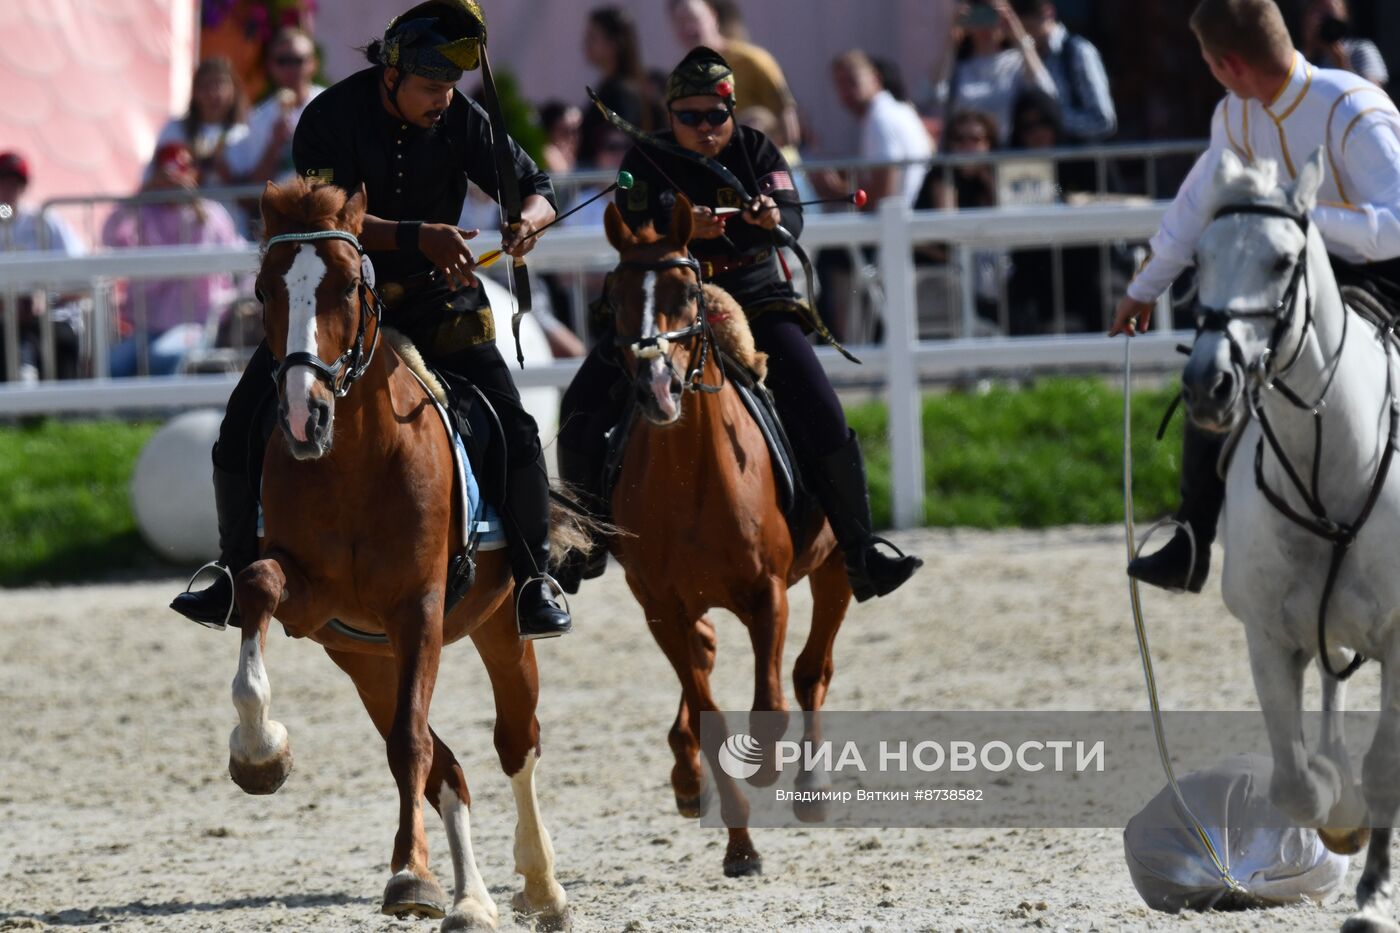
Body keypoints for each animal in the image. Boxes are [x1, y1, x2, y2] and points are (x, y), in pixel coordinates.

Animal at [226, 177, 576, 924]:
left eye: (348, 287)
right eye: (265, 291)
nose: (302, 416)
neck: (355, 459)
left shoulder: (419, 607)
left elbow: (411, 742)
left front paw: (410, 873)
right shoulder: (312, 603)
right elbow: (262, 588)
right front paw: (260, 754)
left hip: (499, 627)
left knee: (513, 744)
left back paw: (540, 886)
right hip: (365, 658)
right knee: (448, 767)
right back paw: (470, 899)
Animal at [599, 194, 845, 874]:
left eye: (687, 293)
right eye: (614, 298)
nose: (656, 386)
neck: (692, 480)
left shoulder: (768, 594)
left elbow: (770, 707)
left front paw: (763, 771)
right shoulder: (662, 607)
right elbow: (708, 707)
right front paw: (738, 842)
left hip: (836, 569)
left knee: (811, 673)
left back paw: (812, 790)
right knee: (705, 660)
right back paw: (689, 781)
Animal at [1181, 145, 1400, 930]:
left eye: (1281, 260)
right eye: (1199, 258)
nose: (1209, 382)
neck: (1328, 470)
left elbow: (1386, 764)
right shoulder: (1271, 637)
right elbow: (1298, 783)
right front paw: (1340, 818)